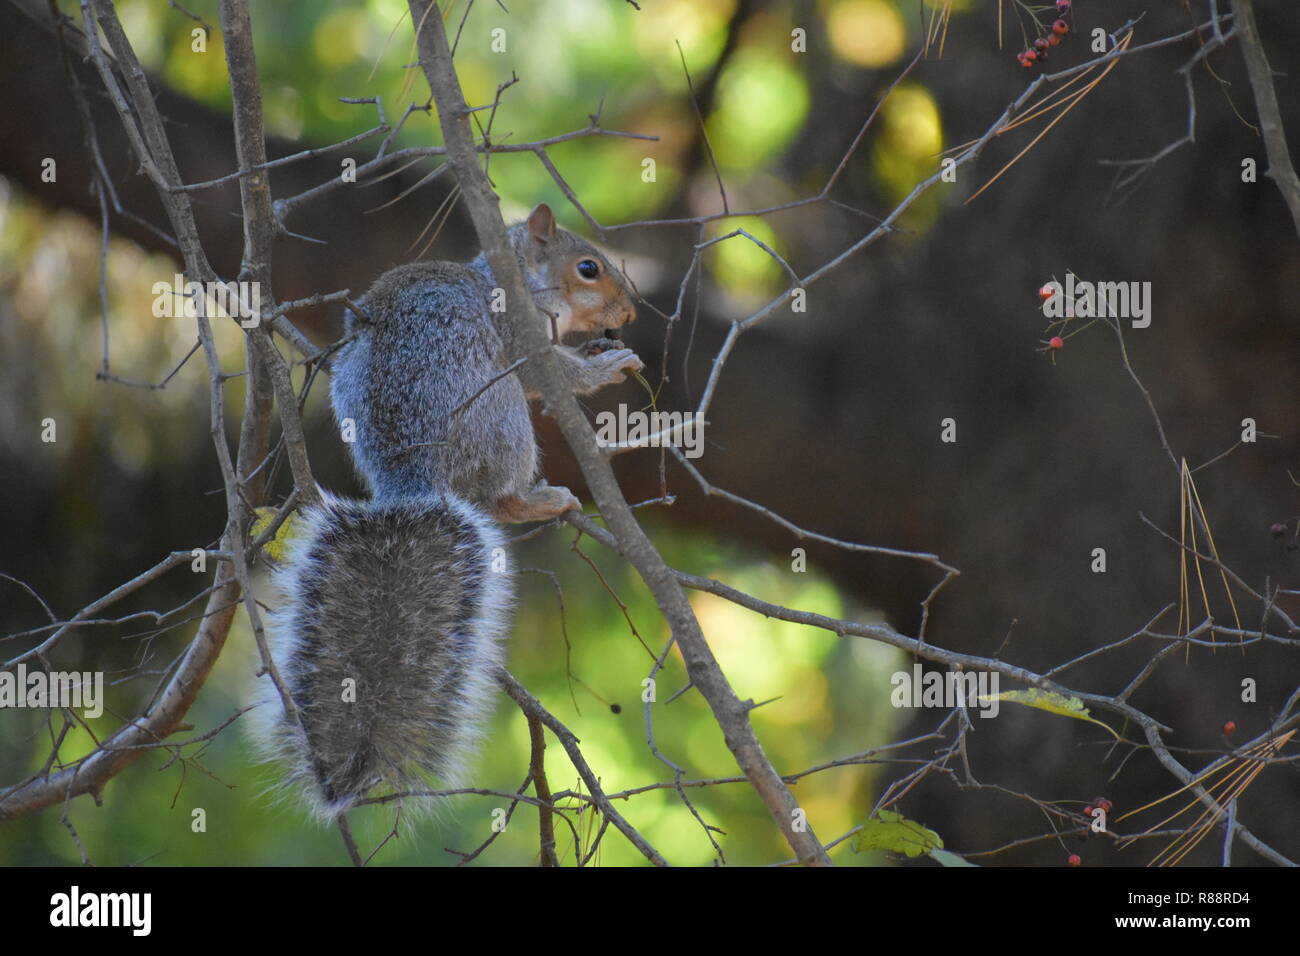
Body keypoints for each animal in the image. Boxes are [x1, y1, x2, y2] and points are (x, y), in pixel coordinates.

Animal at [248, 204, 642, 824]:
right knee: (500, 491)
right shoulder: (520, 334)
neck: (512, 276)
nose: (628, 314)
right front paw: (607, 367)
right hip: (501, 416)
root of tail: (412, 481)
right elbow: (551, 376)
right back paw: (538, 499)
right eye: (588, 268)